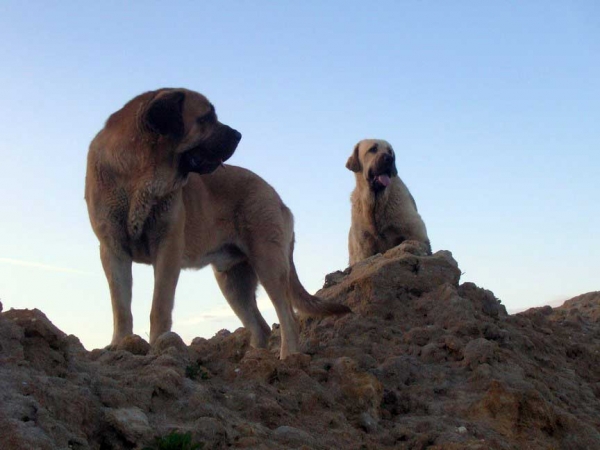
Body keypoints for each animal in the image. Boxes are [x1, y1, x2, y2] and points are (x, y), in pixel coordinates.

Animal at [84, 88, 346, 358]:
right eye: (206, 118)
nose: (238, 135)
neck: (137, 176)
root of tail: (277, 197)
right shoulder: (113, 251)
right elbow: (121, 306)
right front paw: (120, 344)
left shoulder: (167, 249)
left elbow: (160, 305)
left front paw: (160, 346)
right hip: (233, 280)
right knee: (261, 326)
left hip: (268, 263)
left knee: (288, 319)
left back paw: (287, 359)